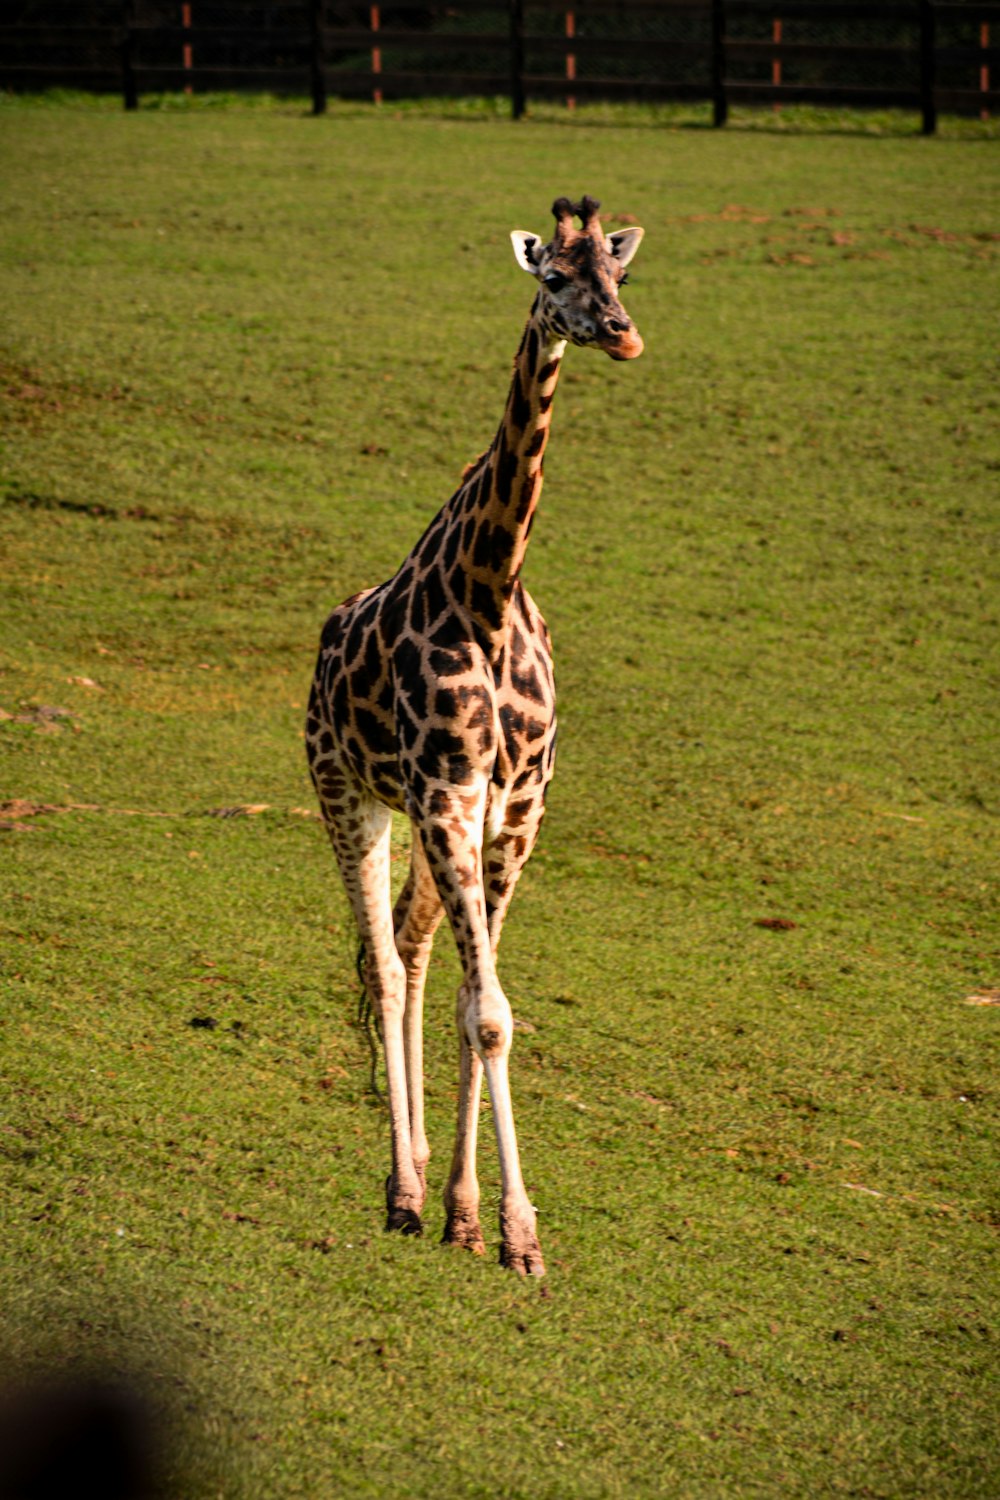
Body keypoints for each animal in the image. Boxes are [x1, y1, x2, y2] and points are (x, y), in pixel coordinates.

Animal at [307, 193, 650, 1272]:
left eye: (622, 275)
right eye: (554, 278)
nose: (620, 334)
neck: (489, 591)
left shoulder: (514, 811)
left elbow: (477, 1008)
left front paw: (484, 1223)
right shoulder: (450, 797)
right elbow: (490, 1012)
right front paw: (508, 1228)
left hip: (420, 817)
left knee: (413, 953)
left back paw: (422, 1181)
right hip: (347, 792)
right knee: (381, 966)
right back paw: (401, 1190)